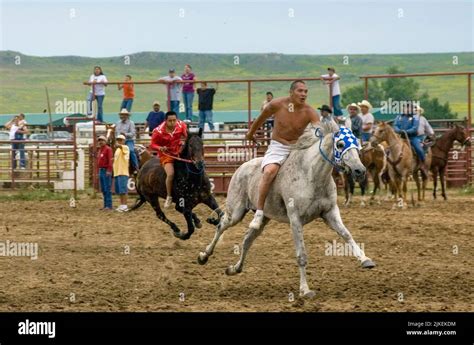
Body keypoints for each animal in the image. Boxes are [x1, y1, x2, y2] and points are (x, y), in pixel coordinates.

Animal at [198, 120, 376, 296]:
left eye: (357, 144)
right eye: (340, 144)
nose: (360, 171)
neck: (311, 175)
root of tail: (241, 167)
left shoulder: (330, 212)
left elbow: (346, 234)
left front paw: (365, 260)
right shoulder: (295, 219)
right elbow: (301, 255)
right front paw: (305, 290)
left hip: (263, 218)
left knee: (247, 239)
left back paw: (234, 269)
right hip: (236, 212)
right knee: (221, 226)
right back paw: (203, 256)